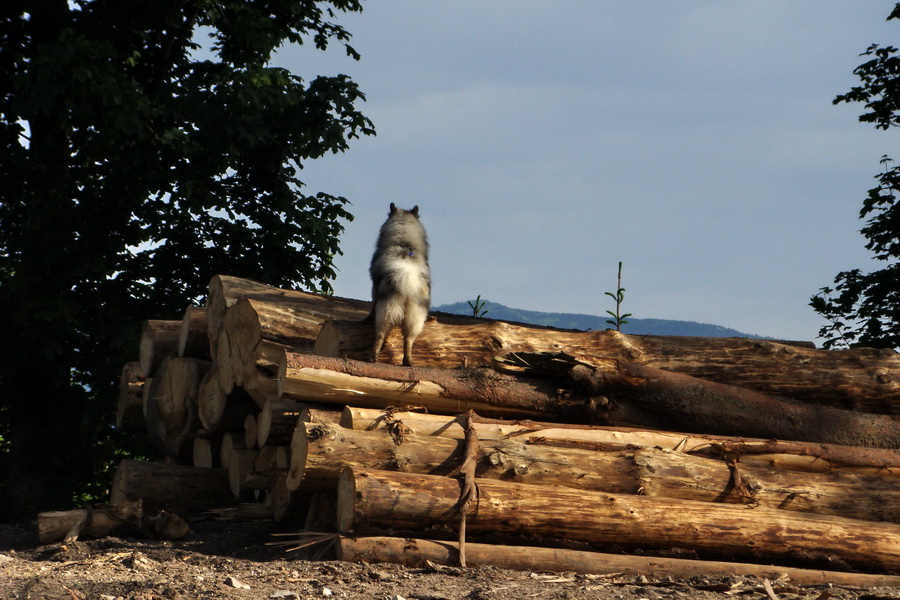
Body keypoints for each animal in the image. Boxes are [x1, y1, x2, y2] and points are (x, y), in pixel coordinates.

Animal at [370, 203, 432, 366]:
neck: (404, 244)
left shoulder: (374, 289)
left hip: (385, 312)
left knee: (380, 334)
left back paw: (373, 356)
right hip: (415, 318)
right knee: (408, 340)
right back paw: (408, 361)